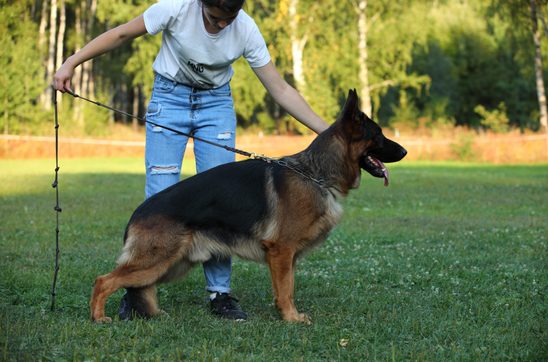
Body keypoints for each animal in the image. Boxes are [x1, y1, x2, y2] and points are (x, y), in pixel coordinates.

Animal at [91, 90, 406, 322]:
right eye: (379, 134)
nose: (404, 151)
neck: (316, 174)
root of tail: (137, 212)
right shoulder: (281, 251)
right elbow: (286, 290)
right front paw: (291, 319)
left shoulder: (286, 257)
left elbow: (285, 288)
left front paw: (286, 315)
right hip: (157, 261)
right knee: (104, 281)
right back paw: (99, 318)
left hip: (173, 264)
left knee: (141, 287)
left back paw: (154, 313)